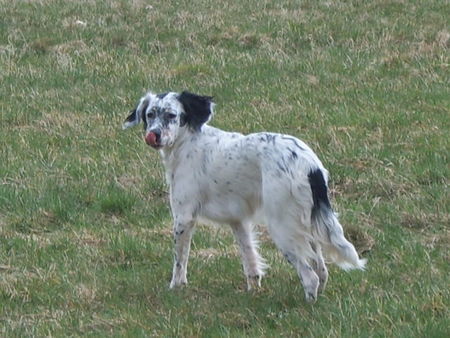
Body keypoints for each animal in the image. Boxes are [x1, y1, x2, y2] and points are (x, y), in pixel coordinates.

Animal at [122, 90, 366, 302]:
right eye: (150, 115)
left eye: (171, 115)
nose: (153, 135)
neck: (187, 142)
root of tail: (310, 164)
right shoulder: (238, 220)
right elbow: (250, 261)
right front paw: (253, 289)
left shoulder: (183, 217)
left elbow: (180, 262)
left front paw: (176, 287)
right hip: (305, 225)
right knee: (322, 271)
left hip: (282, 229)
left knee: (311, 277)